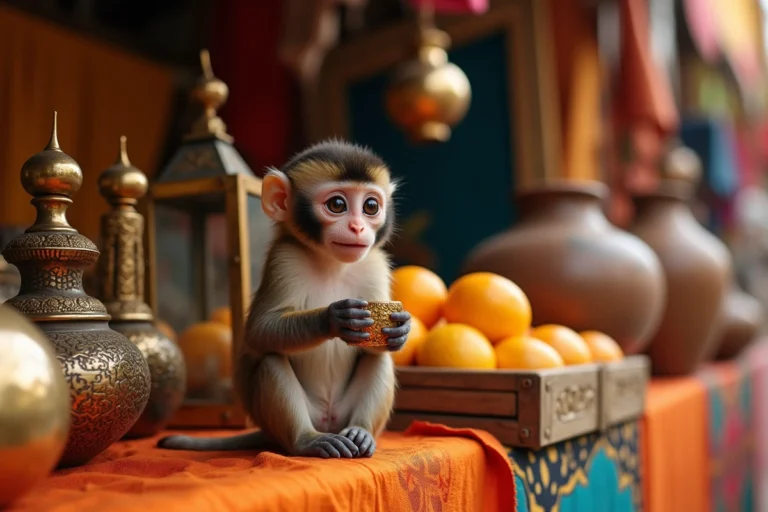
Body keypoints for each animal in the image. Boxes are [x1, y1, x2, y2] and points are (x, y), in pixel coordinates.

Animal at [157, 140, 411, 459]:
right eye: (337, 205)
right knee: (271, 360)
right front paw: (334, 318)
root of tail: (327, 422)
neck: (331, 264)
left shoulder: (374, 264)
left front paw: (401, 329)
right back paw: (306, 440)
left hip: (341, 415)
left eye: (371, 206)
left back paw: (360, 431)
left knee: (379, 360)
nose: (357, 228)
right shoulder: (285, 260)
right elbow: (259, 332)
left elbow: (377, 346)